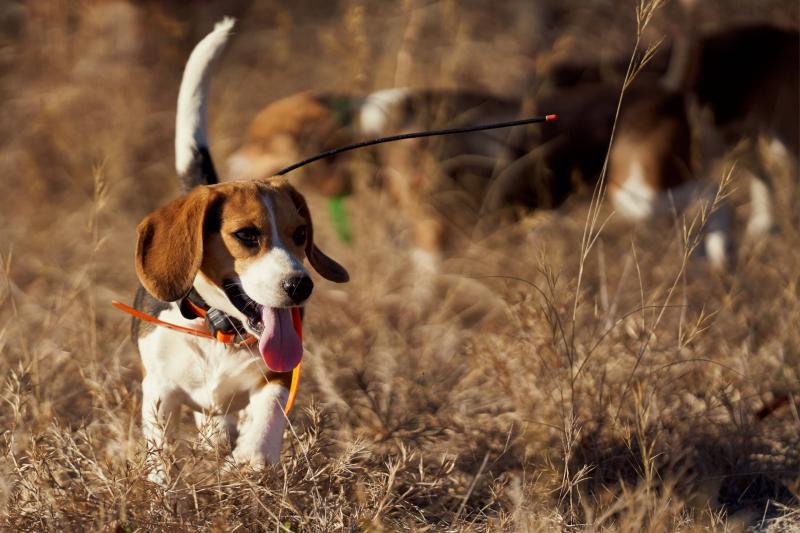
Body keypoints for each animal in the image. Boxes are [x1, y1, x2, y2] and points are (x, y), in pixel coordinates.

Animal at [131, 18, 346, 480]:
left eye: (301, 233)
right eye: (247, 235)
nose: (300, 287)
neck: (220, 329)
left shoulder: (279, 372)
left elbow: (268, 410)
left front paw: (252, 453)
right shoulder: (157, 389)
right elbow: (160, 451)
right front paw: (162, 485)